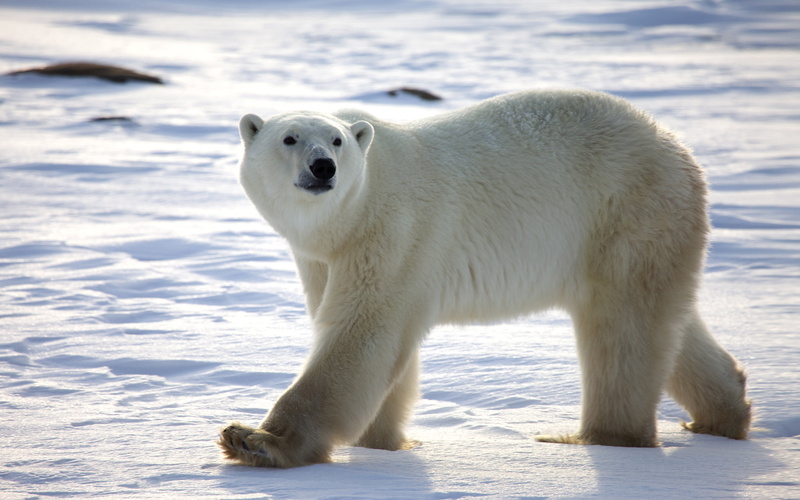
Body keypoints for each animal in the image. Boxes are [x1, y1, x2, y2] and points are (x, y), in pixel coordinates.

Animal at [218, 89, 751, 468]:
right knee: (668, 322)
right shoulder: (323, 258)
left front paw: (254, 439)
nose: (323, 167)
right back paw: (724, 414)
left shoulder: (396, 229)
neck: (352, 213)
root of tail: (676, 147)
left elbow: (361, 332)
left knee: (621, 331)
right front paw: (382, 444)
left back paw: (594, 439)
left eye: (337, 141)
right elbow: (385, 348)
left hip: (625, 211)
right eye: (289, 138)